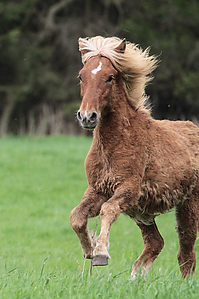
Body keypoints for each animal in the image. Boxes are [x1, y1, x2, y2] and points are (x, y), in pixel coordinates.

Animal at [69, 36, 199, 280]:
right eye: (81, 75)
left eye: (109, 77)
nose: (87, 116)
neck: (115, 144)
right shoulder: (97, 190)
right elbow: (77, 217)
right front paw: (89, 249)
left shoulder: (128, 189)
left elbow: (108, 210)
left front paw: (101, 252)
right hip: (141, 213)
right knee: (156, 243)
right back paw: (136, 278)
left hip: (188, 204)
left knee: (186, 254)